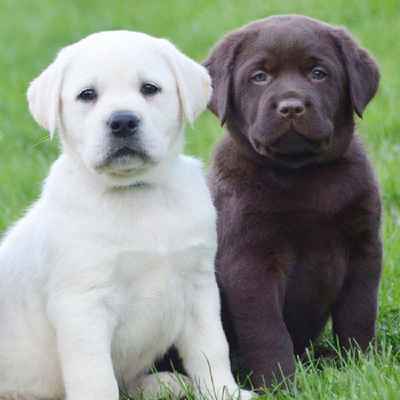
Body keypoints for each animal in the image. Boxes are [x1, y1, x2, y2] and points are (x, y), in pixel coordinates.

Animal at [0, 31, 250, 400]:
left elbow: (212, 349)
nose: (122, 121)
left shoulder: (198, 284)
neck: (135, 193)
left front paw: (224, 391)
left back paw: (164, 382)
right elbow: (95, 375)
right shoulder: (82, 305)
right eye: (87, 95)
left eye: (149, 88)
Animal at [205, 15, 382, 388]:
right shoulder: (250, 263)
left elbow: (359, 313)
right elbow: (267, 330)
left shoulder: (364, 248)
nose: (291, 107)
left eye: (318, 73)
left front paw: (360, 364)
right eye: (259, 76)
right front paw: (279, 384)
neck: (302, 174)